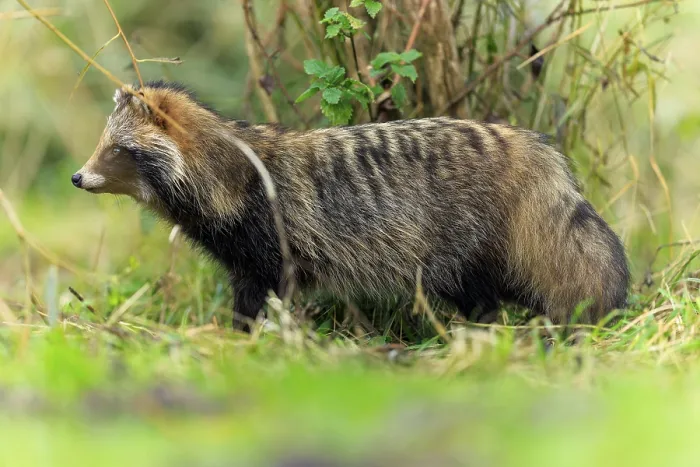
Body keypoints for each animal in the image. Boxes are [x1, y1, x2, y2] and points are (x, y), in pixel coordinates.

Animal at [72, 80, 630, 330]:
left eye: (118, 149)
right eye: (103, 142)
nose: (78, 177)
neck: (234, 174)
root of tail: (526, 143)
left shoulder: (272, 251)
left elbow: (258, 303)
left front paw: (247, 340)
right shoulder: (247, 260)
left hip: (457, 254)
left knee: (488, 298)